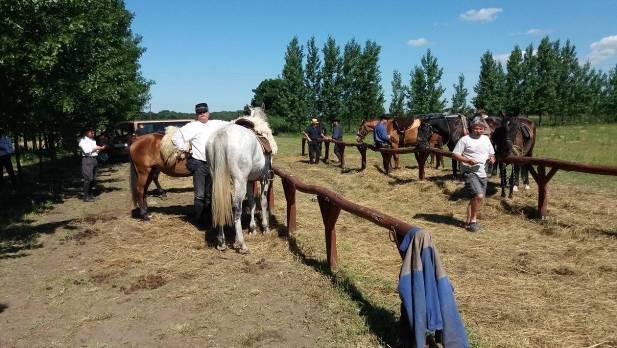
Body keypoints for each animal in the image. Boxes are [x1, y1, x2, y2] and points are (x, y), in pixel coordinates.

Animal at [208, 106, 276, 253]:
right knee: (236, 207)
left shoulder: (250, 181)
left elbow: (251, 202)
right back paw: (241, 244)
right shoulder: (264, 178)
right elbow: (263, 202)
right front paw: (265, 227)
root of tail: (222, 135)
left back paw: (222, 242)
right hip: (239, 181)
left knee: (221, 203)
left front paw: (253, 228)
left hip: (218, 178)